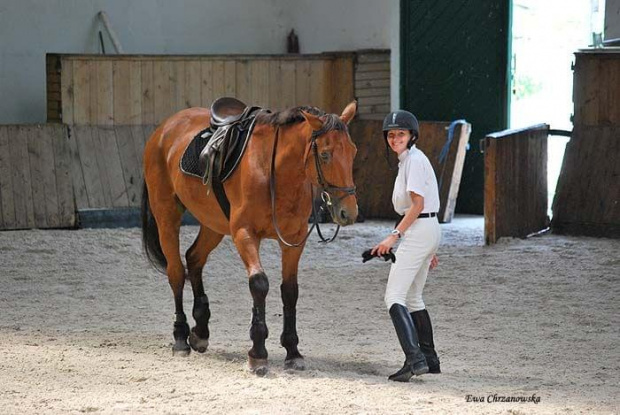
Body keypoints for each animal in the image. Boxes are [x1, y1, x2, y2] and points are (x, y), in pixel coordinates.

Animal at [139, 99, 356, 376]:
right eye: (326, 154)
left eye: (353, 152)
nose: (348, 212)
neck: (275, 172)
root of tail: (164, 129)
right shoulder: (244, 234)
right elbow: (259, 284)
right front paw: (257, 354)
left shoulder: (294, 240)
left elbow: (290, 291)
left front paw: (293, 351)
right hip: (167, 215)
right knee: (176, 272)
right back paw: (180, 338)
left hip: (213, 224)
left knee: (194, 258)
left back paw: (200, 331)